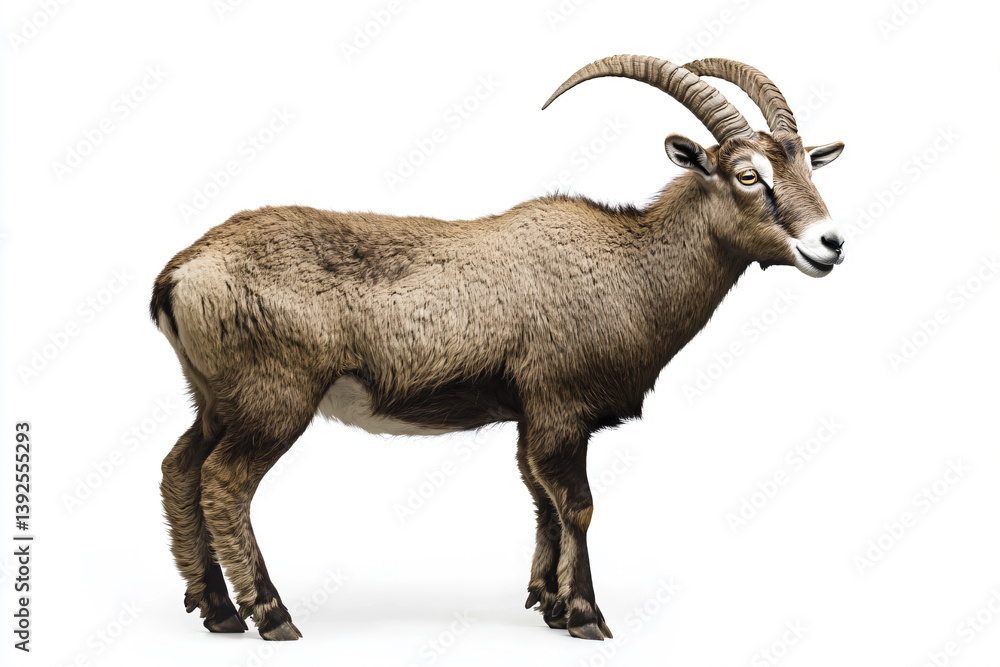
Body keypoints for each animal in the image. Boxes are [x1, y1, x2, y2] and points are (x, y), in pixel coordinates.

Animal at [152, 54, 846, 641]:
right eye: (748, 175)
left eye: (809, 168)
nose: (829, 243)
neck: (628, 267)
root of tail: (181, 273)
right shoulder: (560, 408)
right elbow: (577, 505)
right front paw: (587, 615)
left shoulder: (530, 416)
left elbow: (542, 501)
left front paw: (549, 601)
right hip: (274, 399)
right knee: (224, 480)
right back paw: (271, 615)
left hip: (215, 399)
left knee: (180, 467)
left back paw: (216, 609)